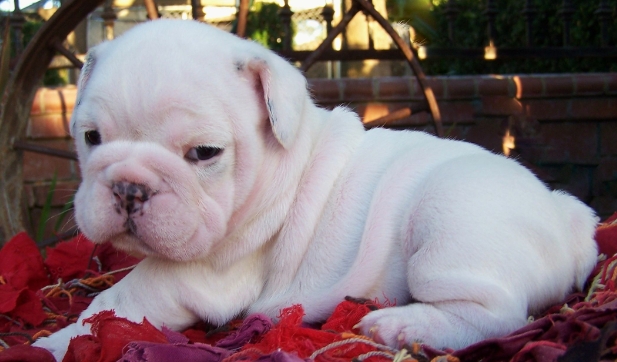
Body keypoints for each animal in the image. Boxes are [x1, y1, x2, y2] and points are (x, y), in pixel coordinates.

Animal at [33, 19, 596, 360]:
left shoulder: (200, 273)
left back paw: (402, 328)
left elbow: (119, 301)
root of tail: (570, 223)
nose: (128, 187)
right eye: (90, 138)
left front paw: (56, 342)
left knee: (496, 314)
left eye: (205, 153)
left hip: (449, 220)